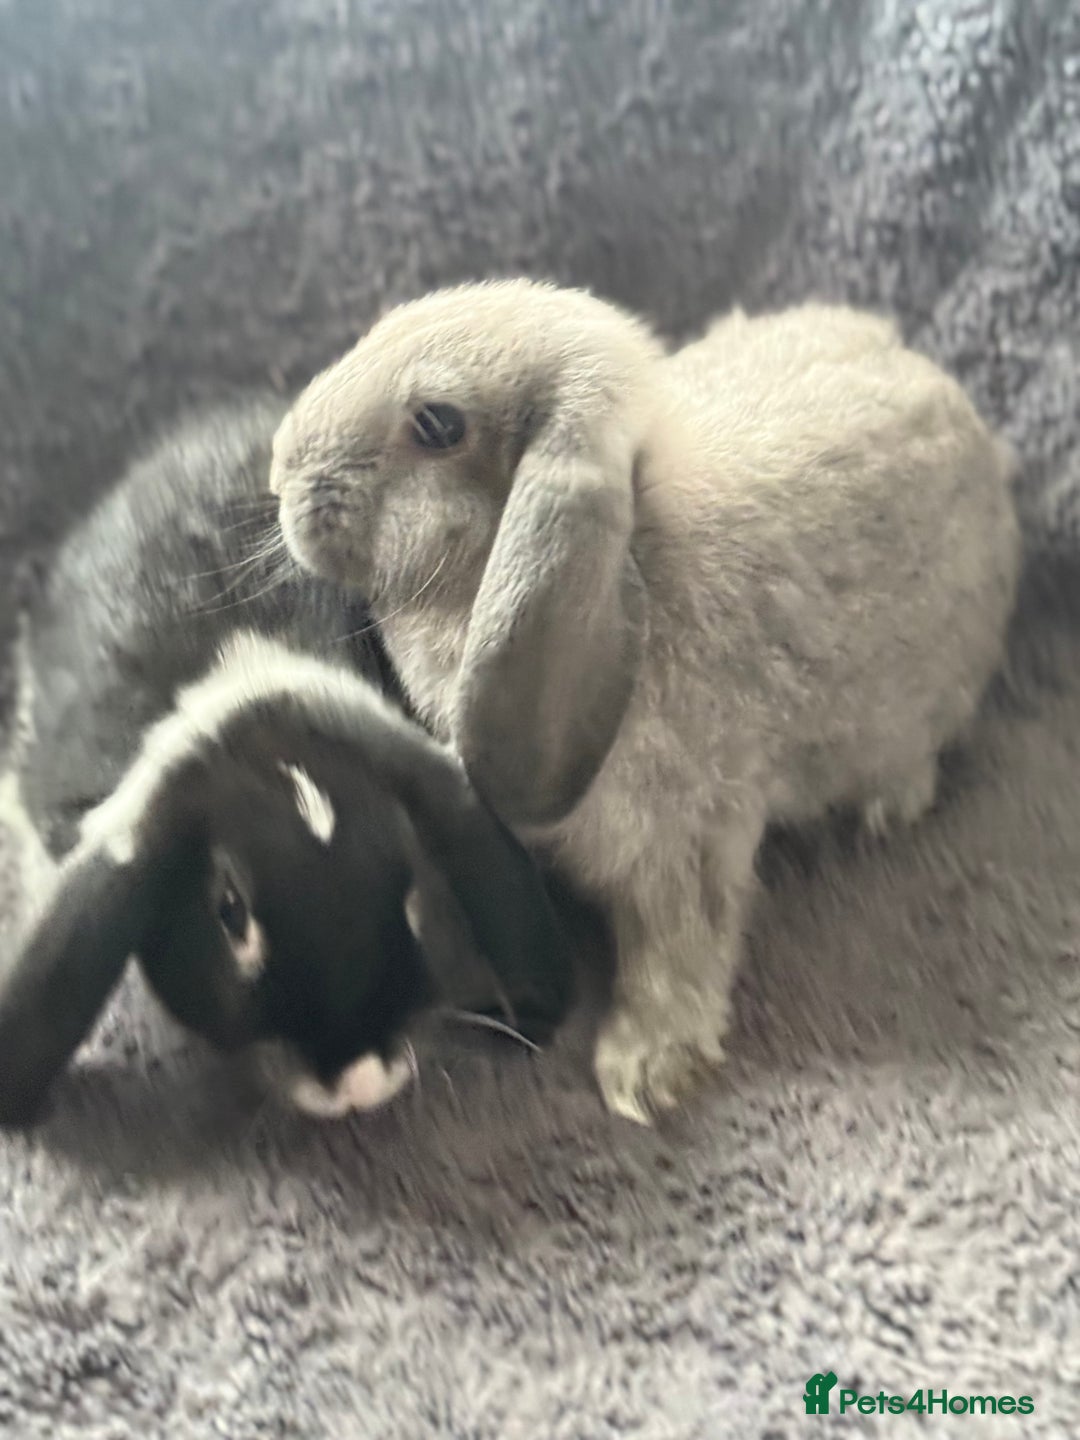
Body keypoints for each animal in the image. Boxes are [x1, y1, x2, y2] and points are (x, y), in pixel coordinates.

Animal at [269, 278, 1022, 1125]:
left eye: (438, 424)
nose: (280, 469)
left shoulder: (683, 840)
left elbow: (678, 946)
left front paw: (644, 1070)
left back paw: (885, 810)